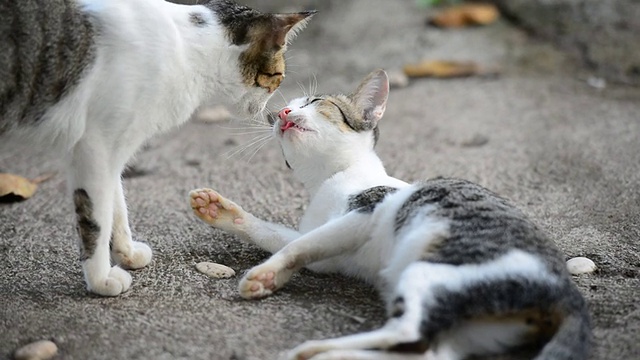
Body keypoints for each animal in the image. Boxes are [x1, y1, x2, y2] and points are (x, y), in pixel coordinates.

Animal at [0, 0, 314, 296]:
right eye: (278, 77)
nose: (269, 114)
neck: (186, 51)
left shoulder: (113, 147)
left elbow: (115, 205)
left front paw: (126, 253)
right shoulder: (94, 147)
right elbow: (96, 218)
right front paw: (100, 280)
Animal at [188, 70, 592, 360]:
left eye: (316, 102)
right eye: (277, 113)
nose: (282, 113)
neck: (328, 180)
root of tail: (566, 295)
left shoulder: (366, 211)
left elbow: (297, 246)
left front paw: (263, 275)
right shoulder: (328, 249)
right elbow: (282, 237)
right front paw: (220, 211)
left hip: (434, 270)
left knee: (407, 332)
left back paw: (315, 350)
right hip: (474, 327)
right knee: (427, 352)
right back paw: (326, 355)